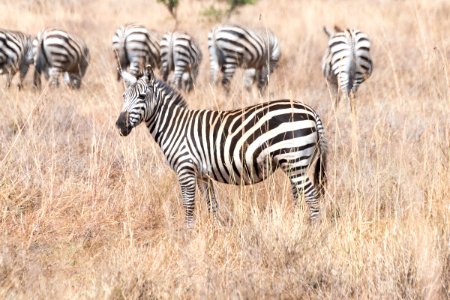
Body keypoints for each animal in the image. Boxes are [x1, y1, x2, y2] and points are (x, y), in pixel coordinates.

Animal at [116, 65, 326, 225]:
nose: (120, 125)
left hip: (294, 160)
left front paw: (188, 234)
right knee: (300, 194)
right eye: (124, 96)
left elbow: (188, 204)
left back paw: (314, 229)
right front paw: (215, 230)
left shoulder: (185, 169)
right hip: (296, 163)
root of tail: (311, 111)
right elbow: (212, 204)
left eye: (142, 97)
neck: (174, 126)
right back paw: (298, 223)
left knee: (311, 195)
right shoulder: (202, 174)